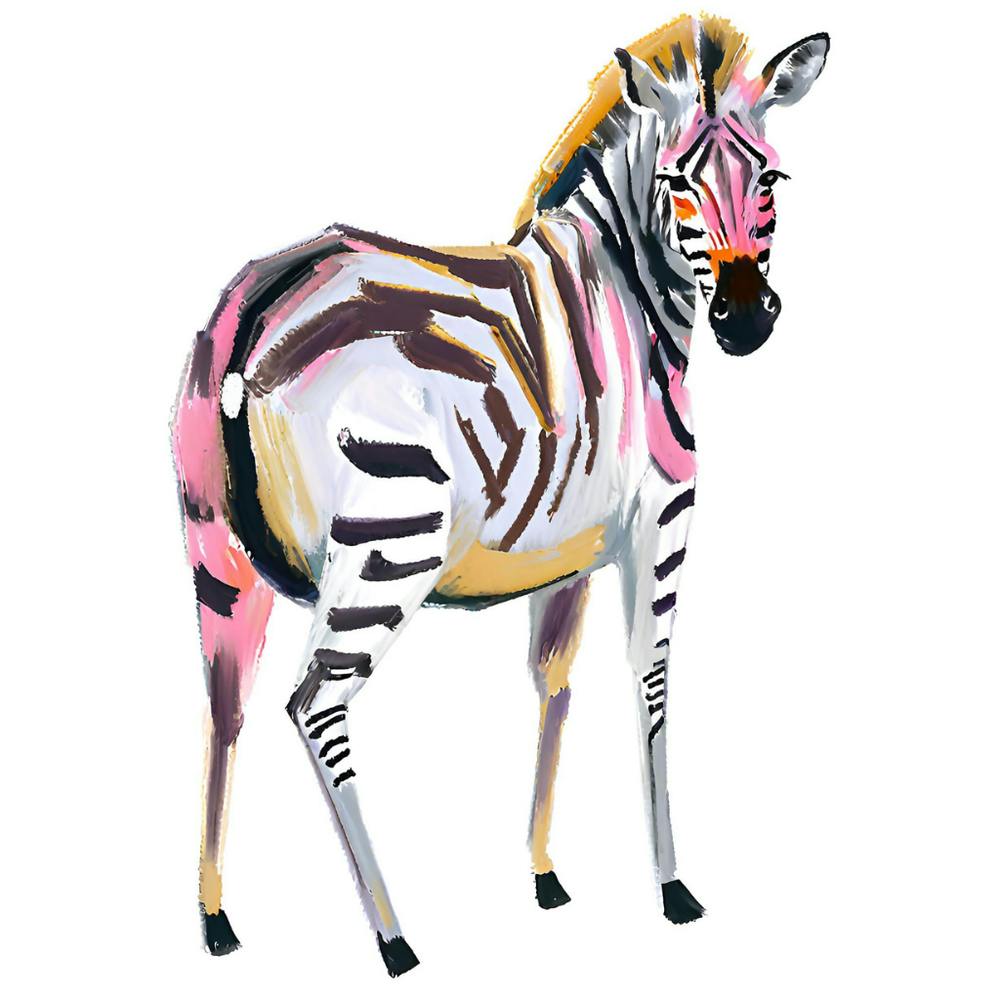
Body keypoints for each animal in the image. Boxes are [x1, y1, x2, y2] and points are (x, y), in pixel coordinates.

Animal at [172, 15, 829, 977]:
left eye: (771, 178)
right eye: (676, 183)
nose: (746, 320)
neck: (630, 294)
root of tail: (256, 306)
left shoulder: (568, 548)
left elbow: (553, 681)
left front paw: (545, 875)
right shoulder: (661, 517)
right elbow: (651, 678)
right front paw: (672, 886)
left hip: (216, 555)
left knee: (225, 706)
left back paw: (217, 921)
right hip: (390, 539)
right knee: (314, 707)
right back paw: (394, 936)